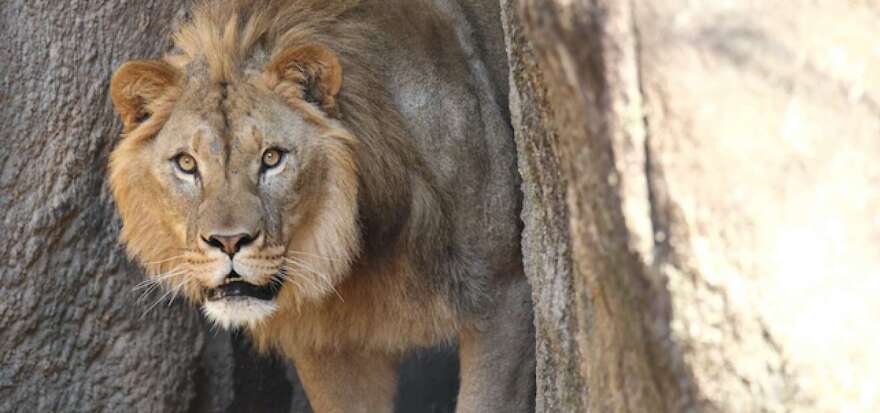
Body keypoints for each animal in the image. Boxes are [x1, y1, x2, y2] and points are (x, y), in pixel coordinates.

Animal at [108, 0, 535, 411]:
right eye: (186, 164)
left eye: (271, 158)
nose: (228, 242)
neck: (353, 255)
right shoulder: (326, 342)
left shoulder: (504, 293)